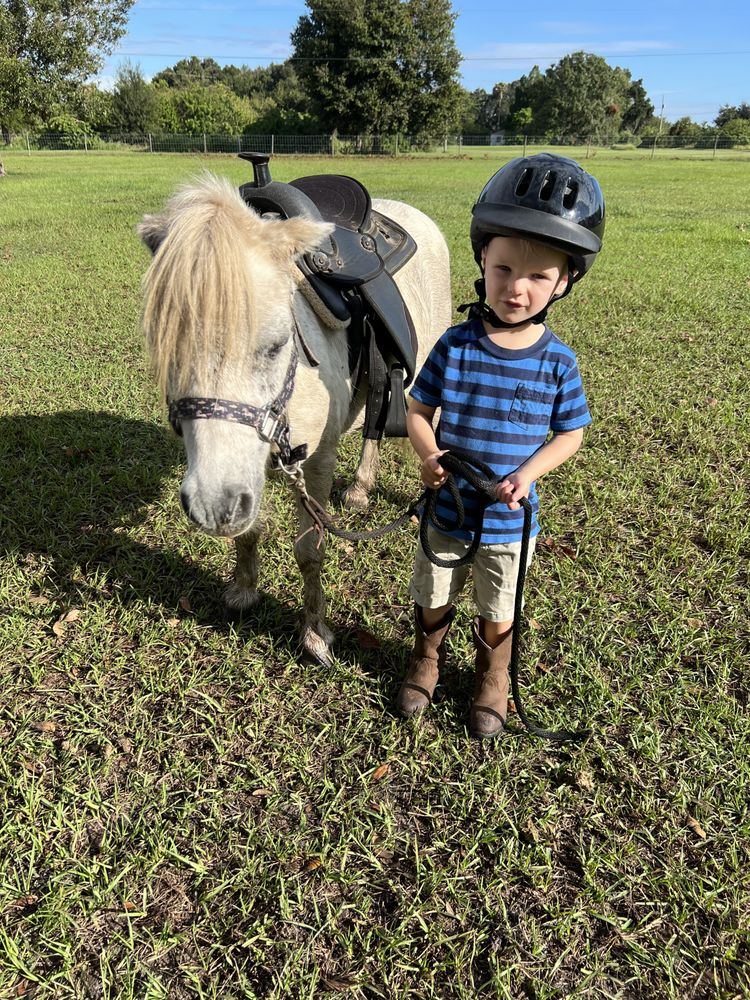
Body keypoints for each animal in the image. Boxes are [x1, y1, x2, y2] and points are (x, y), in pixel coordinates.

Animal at [138, 173, 451, 664]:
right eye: (170, 350)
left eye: (277, 343)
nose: (212, 507)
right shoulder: (250, 472)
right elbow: (250, 533)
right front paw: (244, 591)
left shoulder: (316, 463)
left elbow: (309, 551)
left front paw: (315, 632)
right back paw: (360, 490)